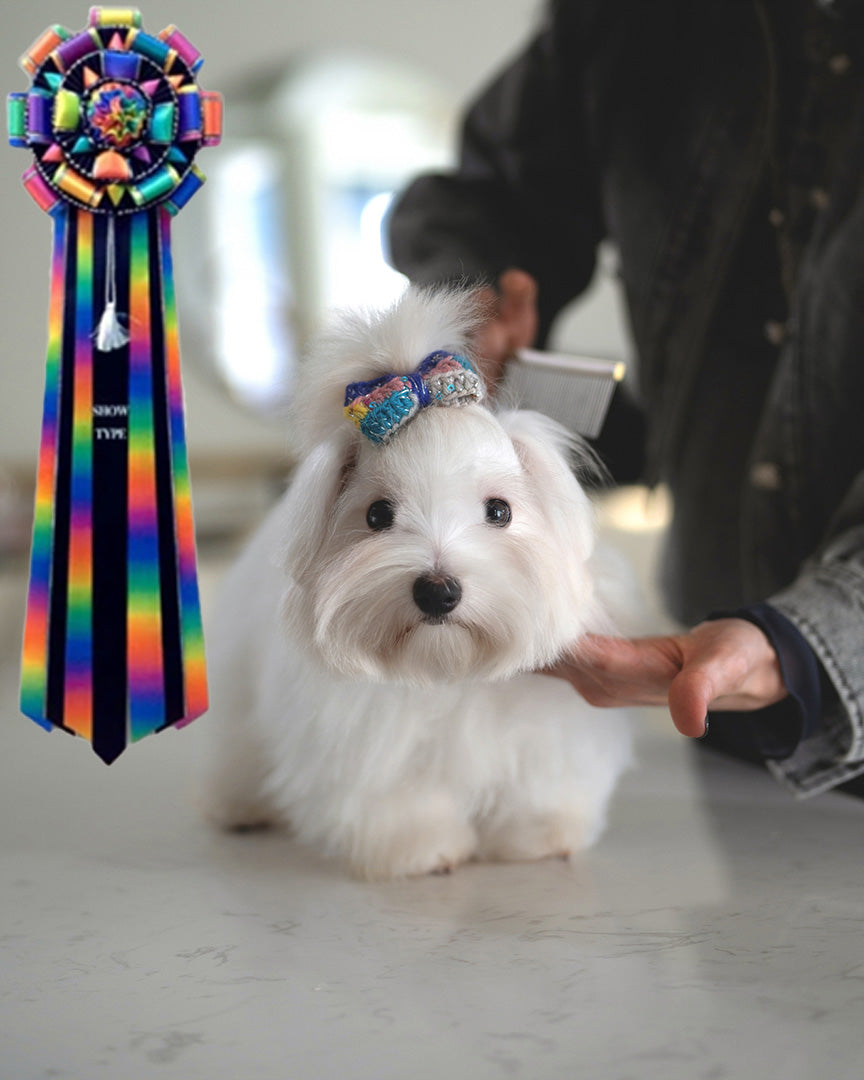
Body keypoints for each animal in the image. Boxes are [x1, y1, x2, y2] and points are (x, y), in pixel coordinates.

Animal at [203, 285, 635, 876]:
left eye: (499, 511)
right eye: (378, 515)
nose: (438, 590)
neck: (447, 670)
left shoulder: (550, 730)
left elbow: (541, 783)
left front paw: (542, 835)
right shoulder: (367, 744)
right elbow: (394, 796)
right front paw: (419, 847)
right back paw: (240, 806)